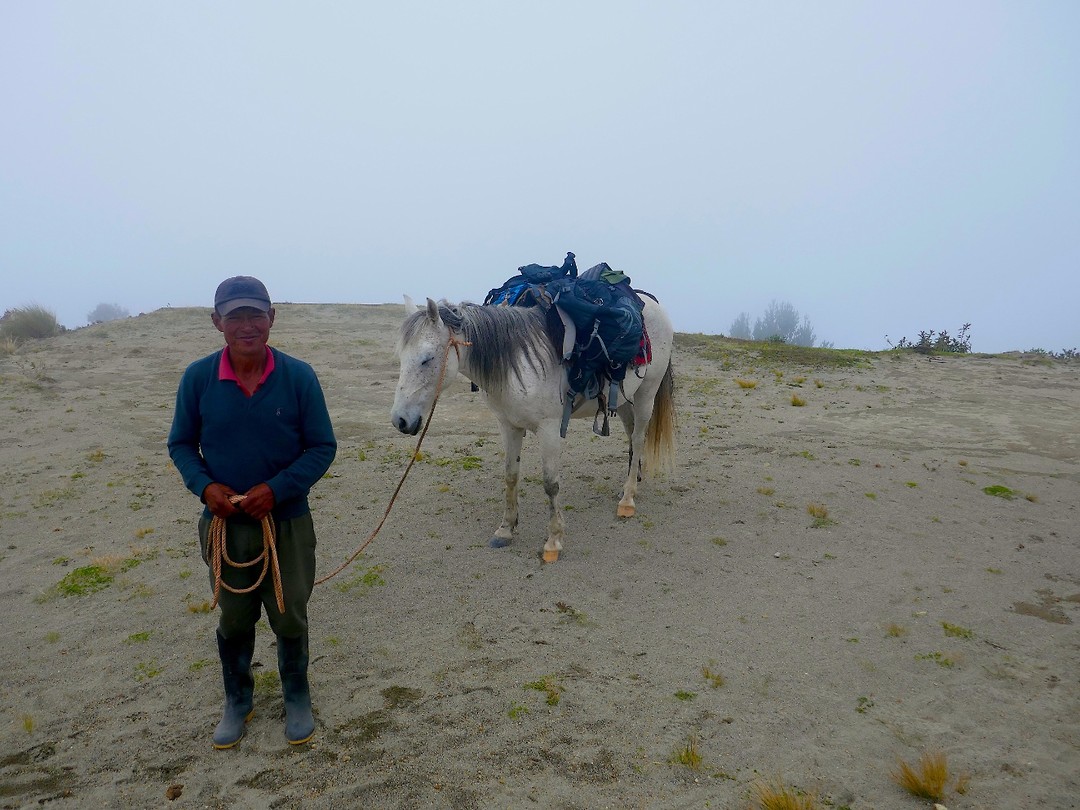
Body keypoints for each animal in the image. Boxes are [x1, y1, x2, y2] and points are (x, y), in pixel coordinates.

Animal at [390, 295, 676, 562]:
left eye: (427, 359)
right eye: (401, 358)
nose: (400, 421)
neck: (516, 365)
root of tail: (650, 302)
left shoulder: (549, 430)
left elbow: (551, 484)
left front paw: (553, 541)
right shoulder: (509, 427)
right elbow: (510, 475)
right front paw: (505, 530)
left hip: (645, 396)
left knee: (638, 439)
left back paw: (627, 500)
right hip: (627, 399)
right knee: (631, 437)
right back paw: (631, 483)